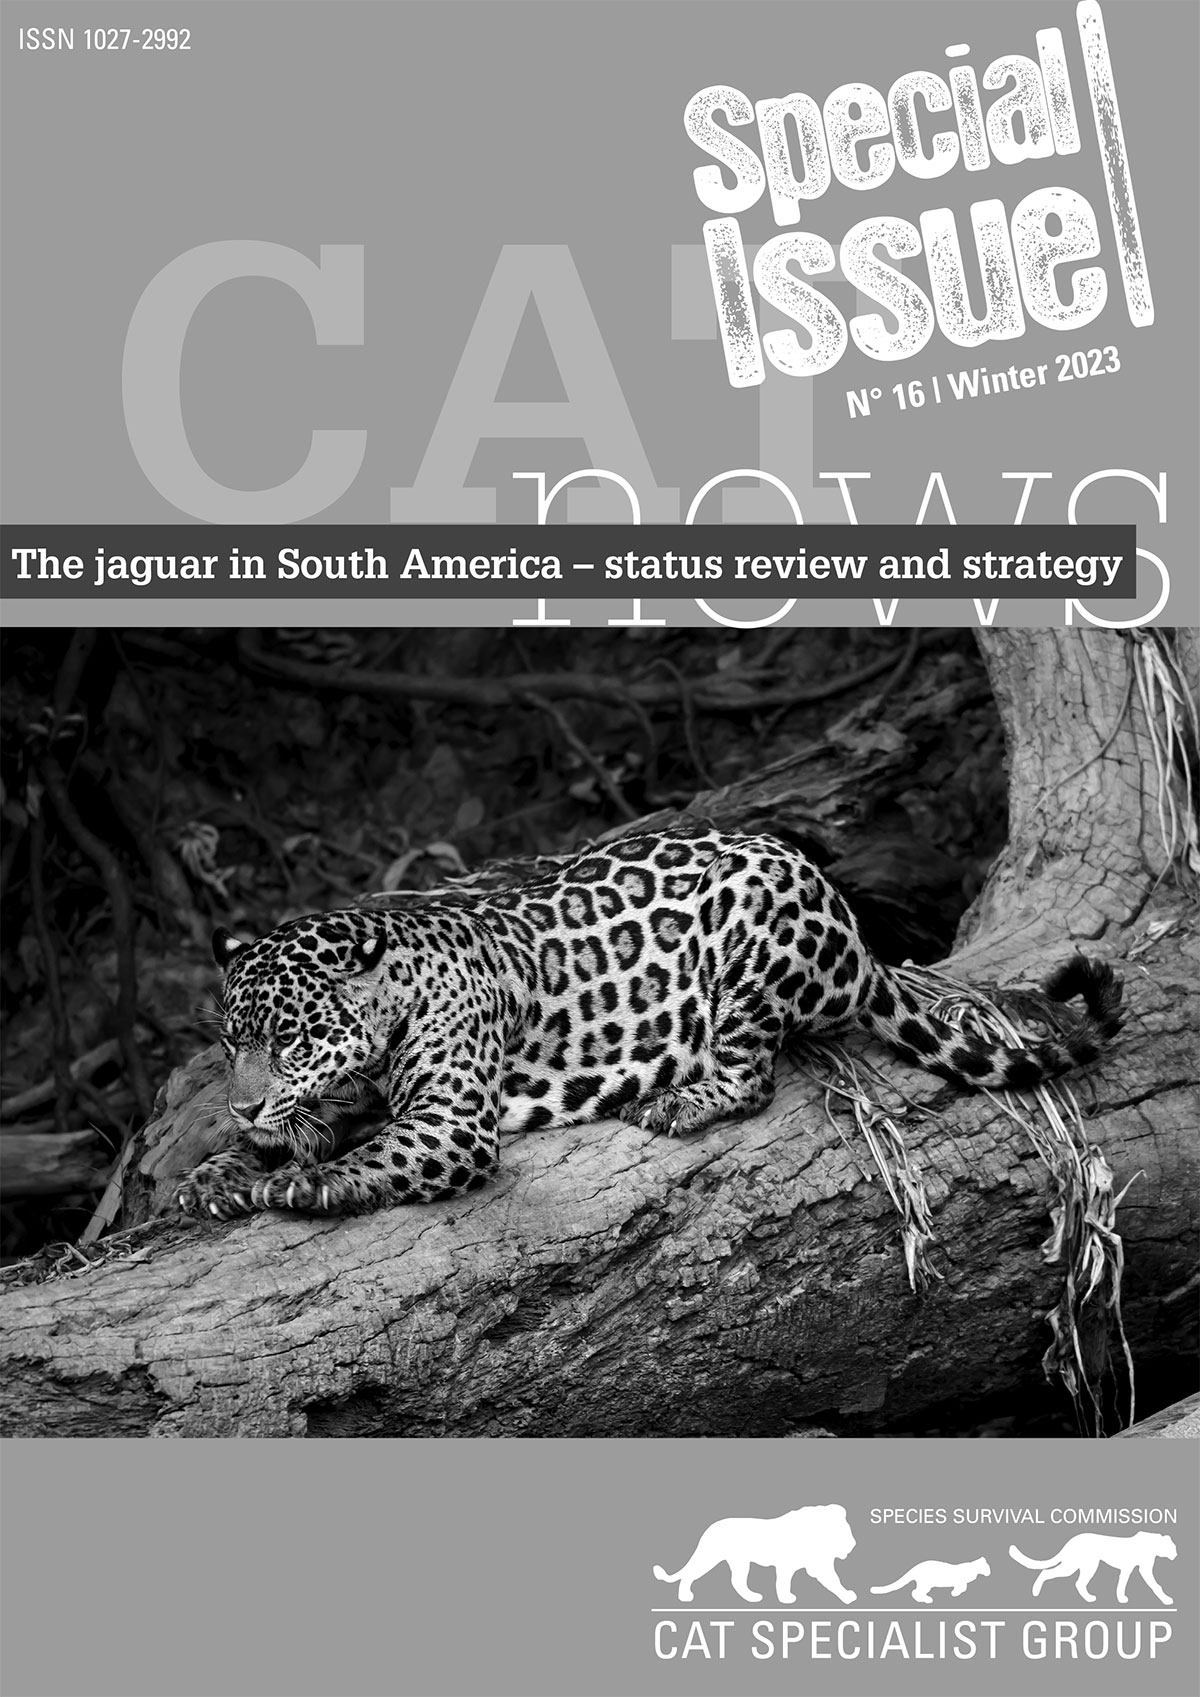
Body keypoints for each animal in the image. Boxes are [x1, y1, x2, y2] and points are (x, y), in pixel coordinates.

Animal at [174, 824, 1123, 1220]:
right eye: (232, 1042)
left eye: (291, 1037)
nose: (243, 1103)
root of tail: (854, 933)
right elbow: (291, 1135)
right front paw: (217, 1170)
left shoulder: (448, 1121)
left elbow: (372, 1153)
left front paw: (299, 1183)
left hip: (750, 930)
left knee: (752, 1075)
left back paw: (678, 1101)